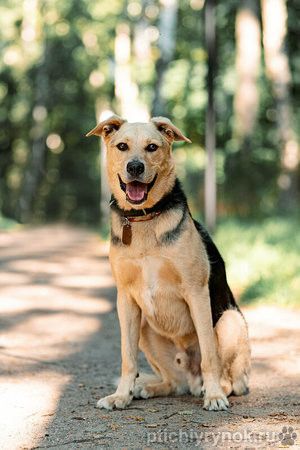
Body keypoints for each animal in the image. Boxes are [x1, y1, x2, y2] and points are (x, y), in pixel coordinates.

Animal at [85, 116, 250, 412]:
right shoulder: (125, 298)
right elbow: (127, 358)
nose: (135, 167)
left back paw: (215, 389)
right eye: (122, 146)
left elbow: (209, 354)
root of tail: (191, 378)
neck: (144, 219)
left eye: (152, 147)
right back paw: (147, 389)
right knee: (174, 383)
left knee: (232, 380)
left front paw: (214, 396)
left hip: (229, 320)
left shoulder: (196, 291)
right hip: (145, 328)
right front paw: (121, 395)